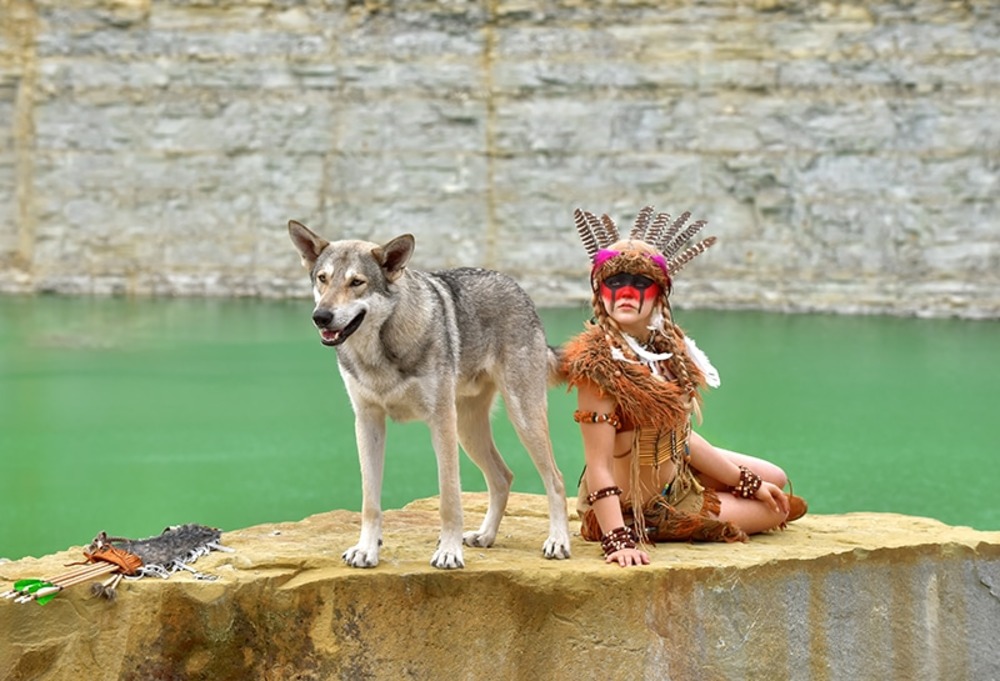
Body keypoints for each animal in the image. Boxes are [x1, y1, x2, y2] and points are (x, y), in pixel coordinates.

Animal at [290, 219, 572, 568]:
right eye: (322, 278)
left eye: (356, 282)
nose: (321, 316)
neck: (380, 351)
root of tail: (517, 287)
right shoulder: (367, 421)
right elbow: (370, 501)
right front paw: (366, 550)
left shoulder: (440, 420)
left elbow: (449, 499)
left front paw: (448, 552)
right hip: (469, 430)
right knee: (503, 477)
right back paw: (485, 536)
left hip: (521, 419)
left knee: (555, 479)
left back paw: (558, 542)